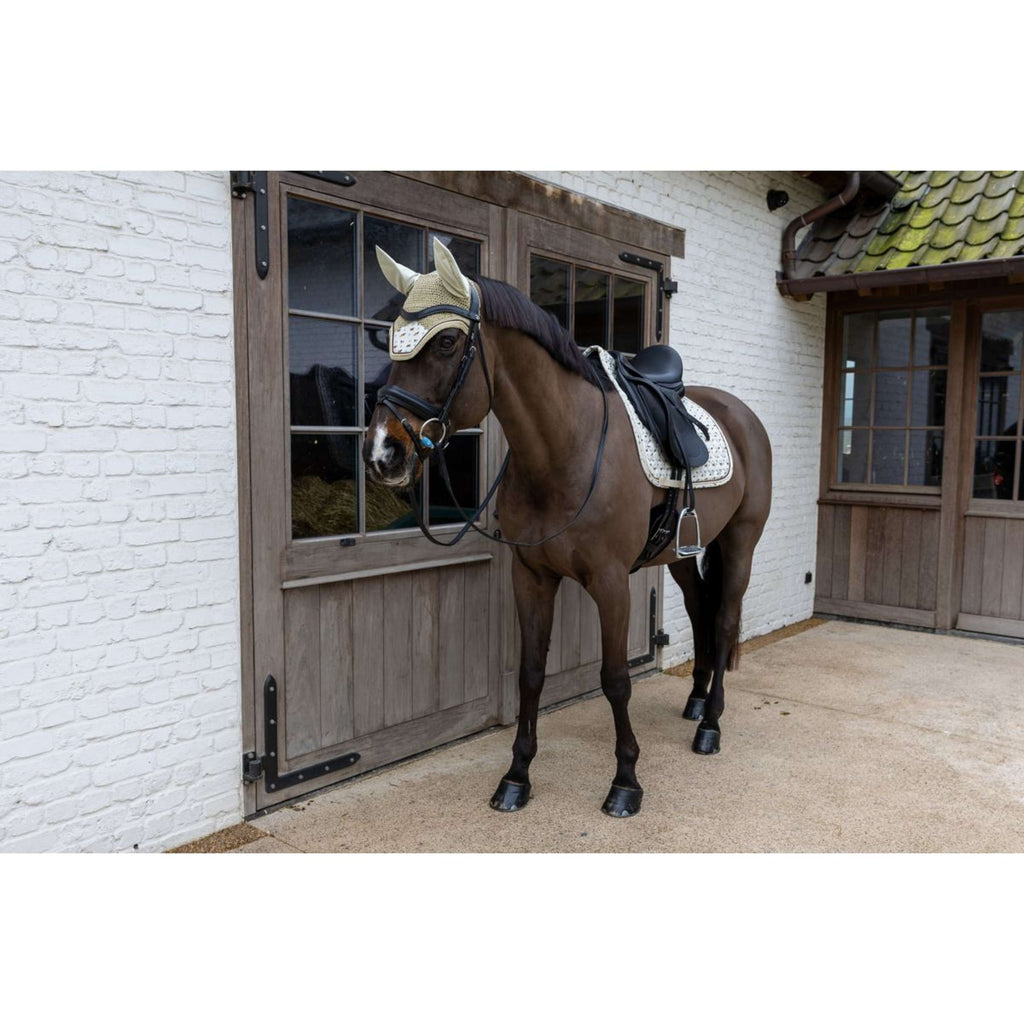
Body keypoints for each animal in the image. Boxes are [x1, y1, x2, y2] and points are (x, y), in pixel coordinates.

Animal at [363, 238, 772, 818]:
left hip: (740, 544)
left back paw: (710, 726)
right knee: (700, 613)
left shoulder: (611, 582)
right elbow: (531, 673)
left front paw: (625, 782)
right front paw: (516, 776)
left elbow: (615, 679)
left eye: (445, 341)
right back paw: (694, 703)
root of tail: (742, 415)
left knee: (725, 620)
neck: (565, 450)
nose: (382, 453)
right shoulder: (532, 576)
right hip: (681, 555)